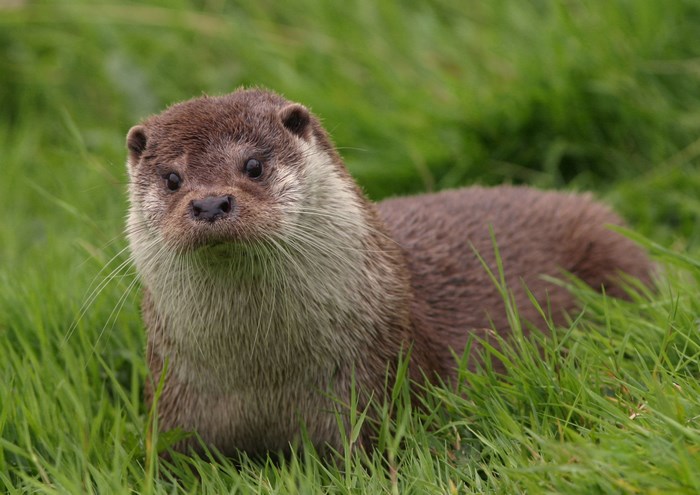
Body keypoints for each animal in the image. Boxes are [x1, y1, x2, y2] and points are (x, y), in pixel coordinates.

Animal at [125, 88, 651, 458]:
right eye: (172, 178)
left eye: (253, 165)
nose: (211, 203)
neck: (262, 375)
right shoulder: (173, 406)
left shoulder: (374, 383)